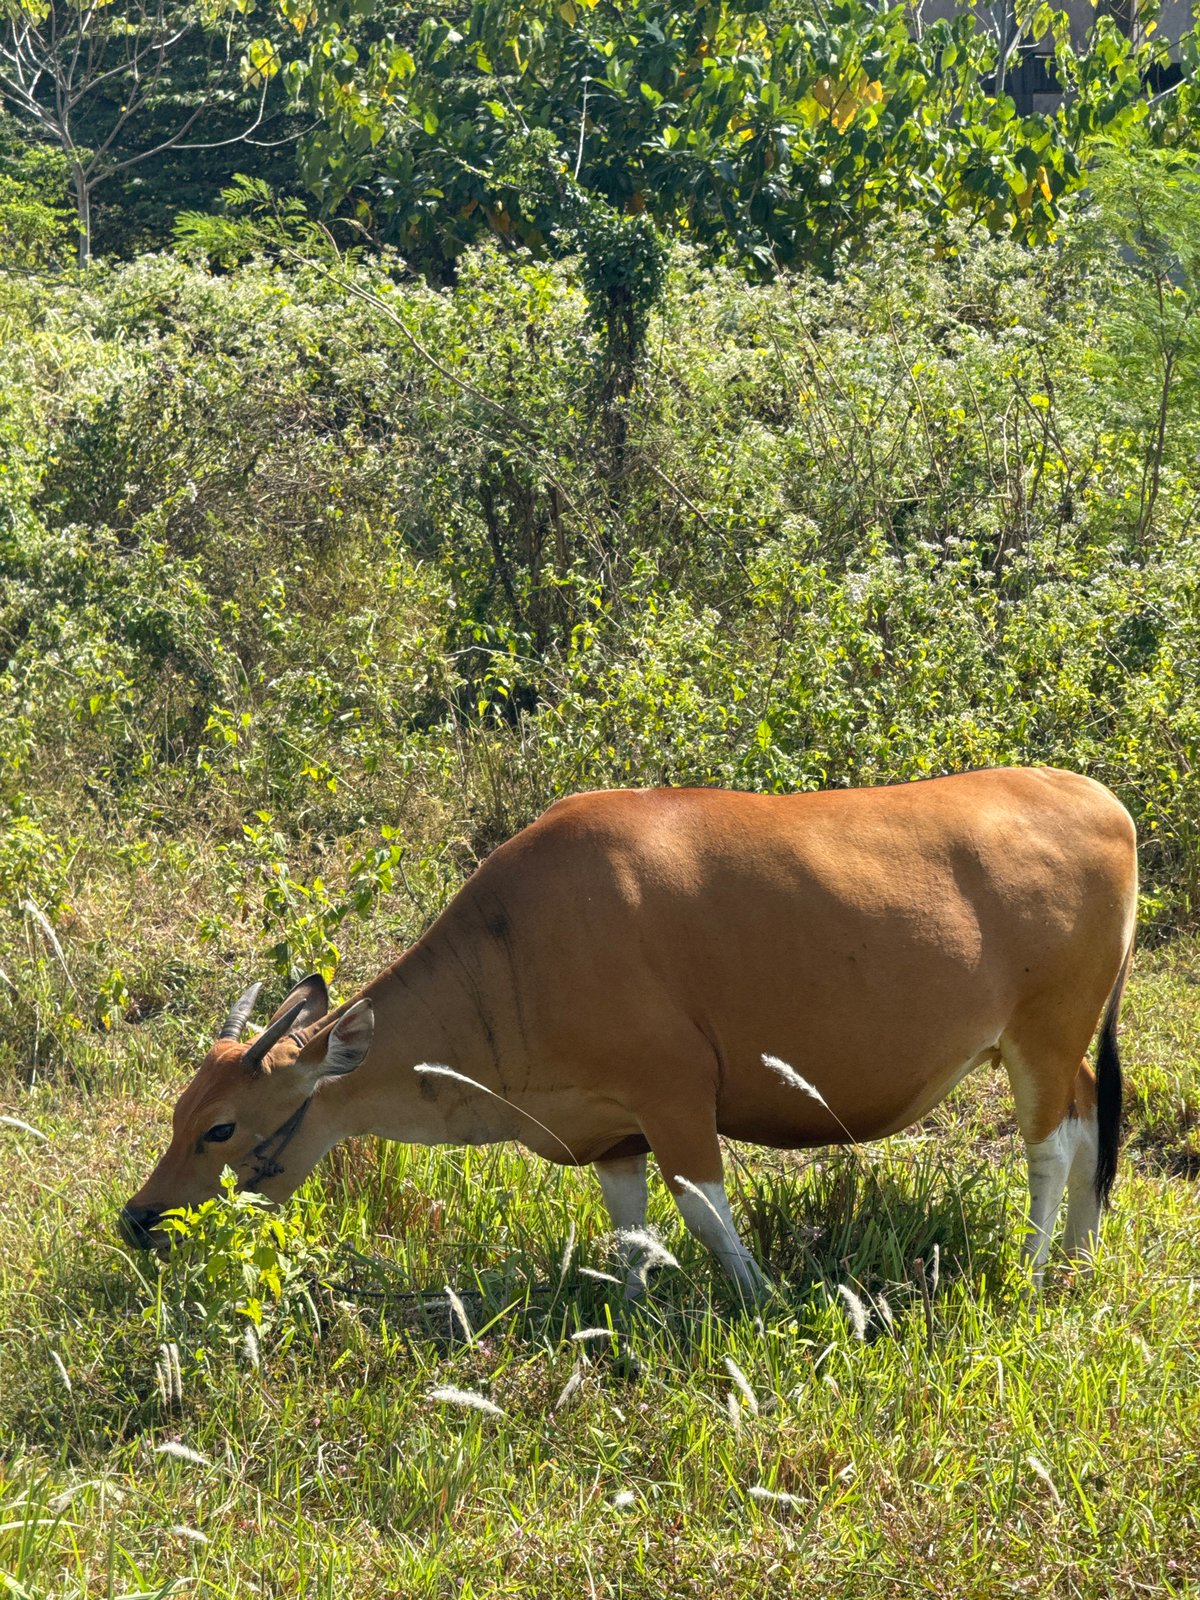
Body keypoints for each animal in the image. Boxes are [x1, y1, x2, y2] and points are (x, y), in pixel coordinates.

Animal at [121, 767, 1137, 1297]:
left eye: (221, 1127)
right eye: (176, 1114)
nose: (139, 1219)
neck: (522, 952)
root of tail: (1101, 800)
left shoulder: (677, 1098)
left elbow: (709, 1218)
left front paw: (756, 1300)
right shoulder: (609, 1130)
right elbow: (630, 1233)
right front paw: (634, 1312)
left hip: (1042, 1035)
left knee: (1050, 1150)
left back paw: (1032, 1268)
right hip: (1061, 1045)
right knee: (1092, 1126)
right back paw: (1079, 1260)